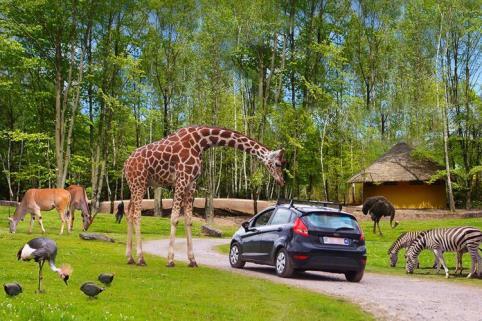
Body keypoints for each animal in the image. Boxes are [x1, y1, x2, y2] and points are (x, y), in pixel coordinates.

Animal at [122, 124, 286, 264]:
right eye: (278, 164)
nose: (281, 181)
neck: (201, 142)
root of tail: (126, 164)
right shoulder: (181, 179)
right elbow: (174, 218)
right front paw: (170, 260)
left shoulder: (191, 183)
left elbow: (188, 219)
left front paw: (192, 260)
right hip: (139, 183)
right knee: (136, 214)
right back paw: (141, 258)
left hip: (136, 185)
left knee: (129, 211)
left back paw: (130, 257)